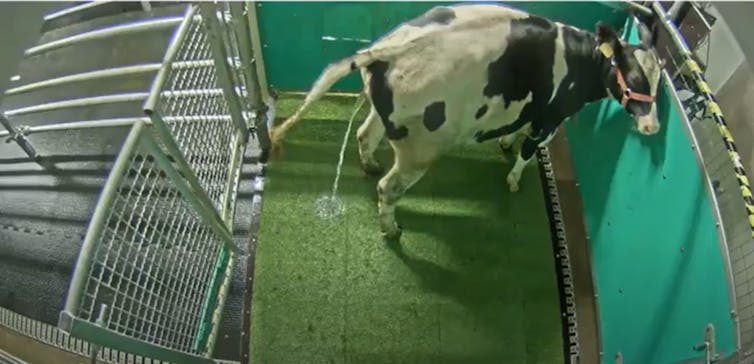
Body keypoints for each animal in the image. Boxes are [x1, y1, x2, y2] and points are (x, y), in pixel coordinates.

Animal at [268, 4, 660, 242]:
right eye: (633, 77)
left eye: (657, 80)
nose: (653, 127)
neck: (582, 62)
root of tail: (388, 49)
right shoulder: (551, 118)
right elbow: (529, 151)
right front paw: (513, 179)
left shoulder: (532, 110)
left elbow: (518, 134)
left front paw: (505, 143)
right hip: (419, 150)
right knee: (388, 188)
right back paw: (392, 229)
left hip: (385, 117)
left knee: (365, 137)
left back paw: (370, 165)